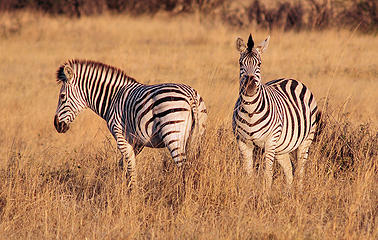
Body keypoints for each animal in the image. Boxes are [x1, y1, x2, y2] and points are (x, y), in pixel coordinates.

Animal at [53, 59, 207, 184]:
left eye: (62, 96)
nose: (57, 125)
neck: (113, 99)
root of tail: (190, 96)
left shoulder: (120, 135)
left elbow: (130, 166)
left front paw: (132, 195)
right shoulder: (137, 141)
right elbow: (125, 165)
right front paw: (124, 188)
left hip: (173, 134)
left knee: (184, 169)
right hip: (197, 136)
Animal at [233, 34, 318, 188]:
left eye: (259, 64)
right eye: (241, 63)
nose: (249, 88)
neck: (250, 112)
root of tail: (291, 79)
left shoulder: (270, 141)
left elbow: (268, 174)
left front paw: (265, 194)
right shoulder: (242, 142)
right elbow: (248, 174)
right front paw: (248, 193)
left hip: (306, 139)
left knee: (300, 170)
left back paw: (299, 192)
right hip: (281, 147)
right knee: (289, 170)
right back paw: (288, 193)